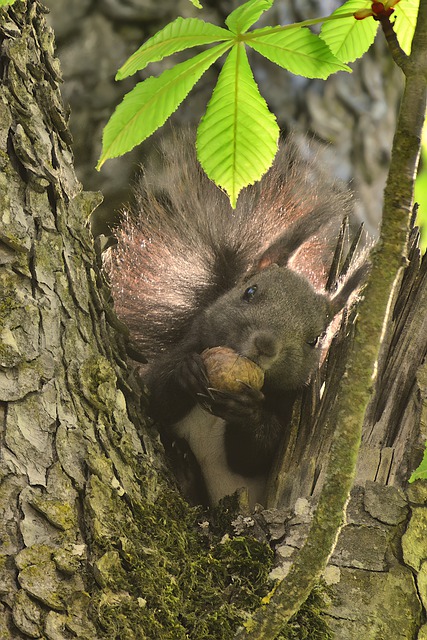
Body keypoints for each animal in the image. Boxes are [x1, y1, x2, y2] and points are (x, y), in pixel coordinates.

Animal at [106, 130, 368, 508]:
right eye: (250, 291)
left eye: (314, 340)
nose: (265, 345)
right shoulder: (174, 357)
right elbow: (150, 395)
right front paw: (185, 372)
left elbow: (255, 455)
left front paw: (248, 411)